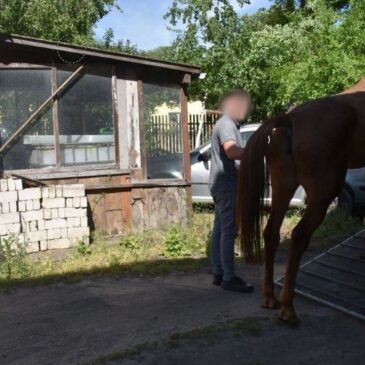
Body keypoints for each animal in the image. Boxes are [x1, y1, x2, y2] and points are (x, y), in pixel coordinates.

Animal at [236, 76, 364, 324]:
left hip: (283, 187)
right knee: (299, 236)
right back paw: (288, 308)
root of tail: (292, 117)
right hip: (322, 194)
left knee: (271, 233)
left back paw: (270, 298)